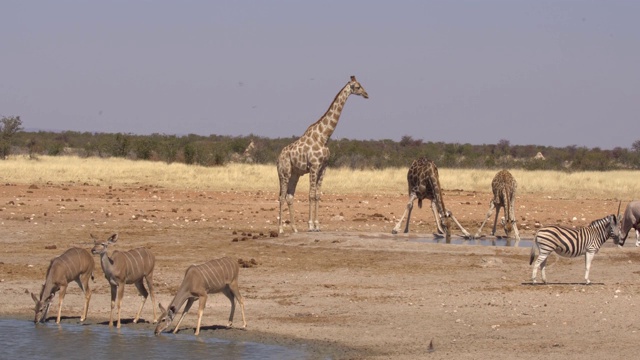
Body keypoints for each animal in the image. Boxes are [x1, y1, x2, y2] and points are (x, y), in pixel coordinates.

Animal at [276, 75, 370, 233]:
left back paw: (294, 228)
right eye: (357, 87)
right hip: (285, 173)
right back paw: (281, 229)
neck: (324, 136)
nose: (366, 94)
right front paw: (310, 225)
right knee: (282, 196)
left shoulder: (324, 167)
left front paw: (317, 225)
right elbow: (311, 194)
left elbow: (318, 195)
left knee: (289, 196)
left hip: (295, 174)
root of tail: (277, 159)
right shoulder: (314, 166)